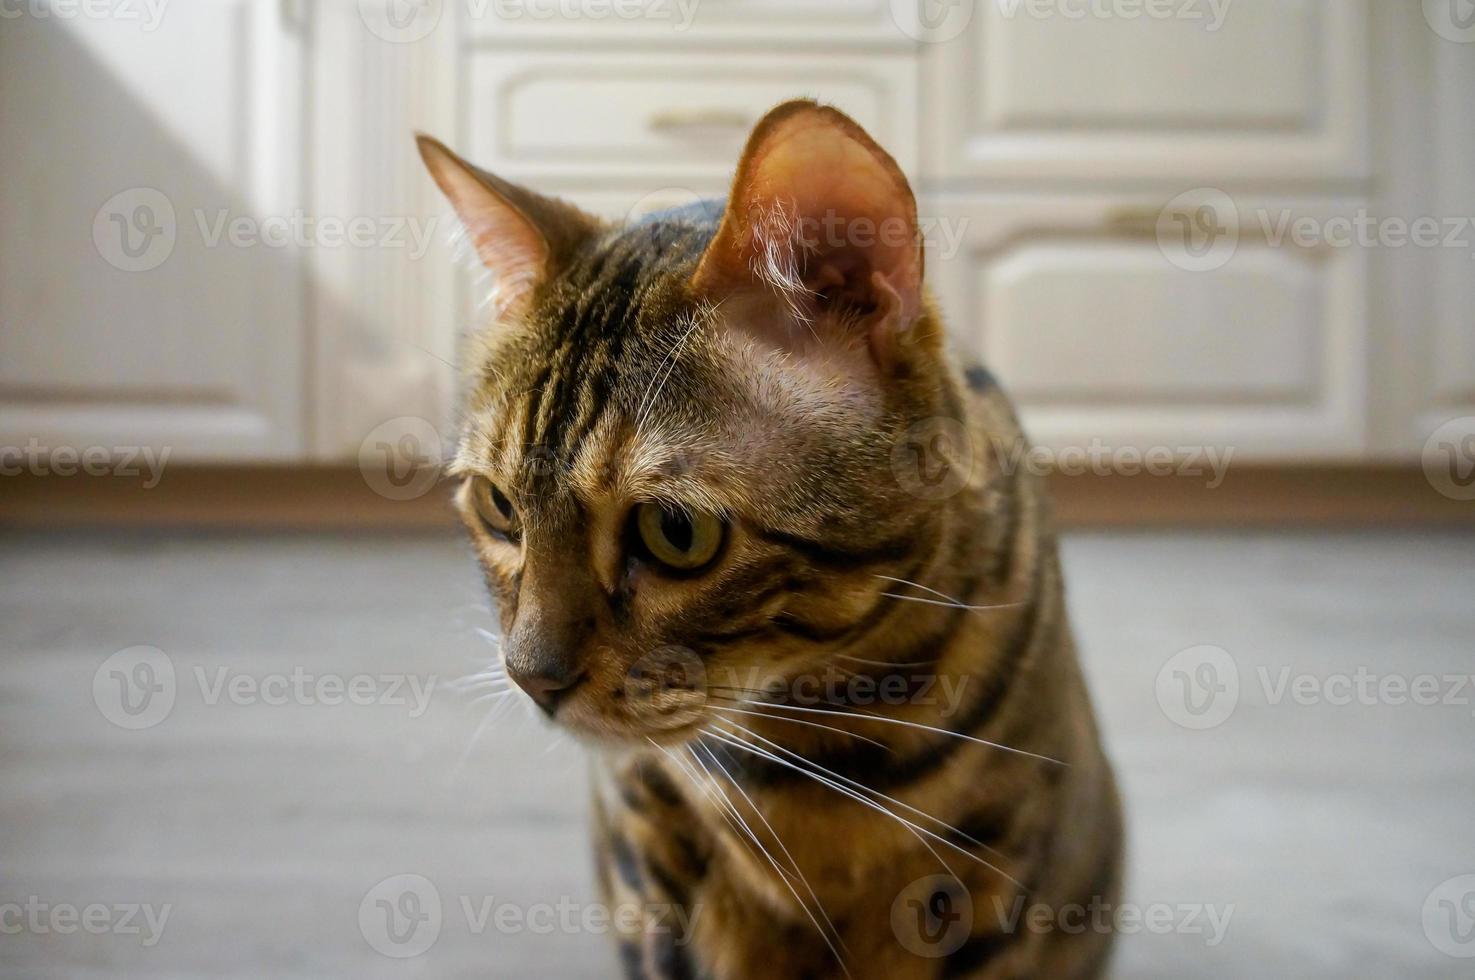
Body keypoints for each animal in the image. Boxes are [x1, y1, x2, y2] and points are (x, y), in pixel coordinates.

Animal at [421, 101, 1121, 980]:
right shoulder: (650, 859)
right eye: (499, 507)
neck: (815, 750)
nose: (530, 678)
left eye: (675, 532)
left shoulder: (993, 880)